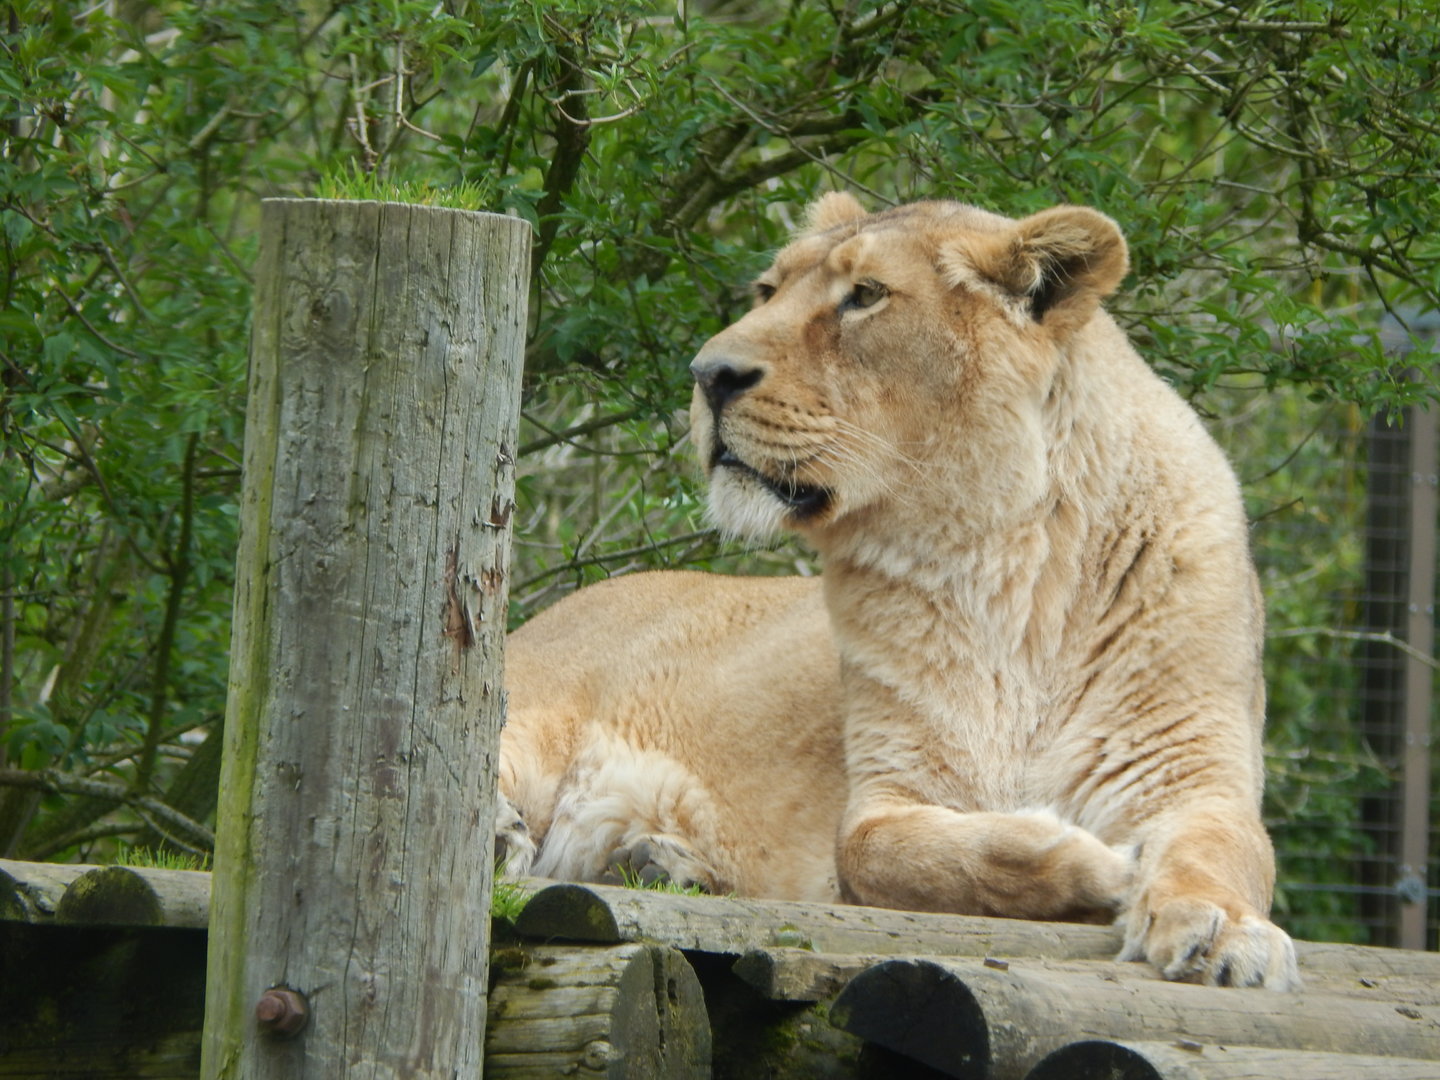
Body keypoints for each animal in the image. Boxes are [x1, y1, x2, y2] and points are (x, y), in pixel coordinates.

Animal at [498, 193, 1299, 990]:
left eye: (865, 295)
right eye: (768, 290)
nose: (708, 373)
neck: (1003, 570)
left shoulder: (1193, 774)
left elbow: (1220, 851)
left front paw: (1220, 929)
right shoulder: (885, 797)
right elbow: (890, 856)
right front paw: (1098, 864)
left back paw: (655, 859)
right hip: (526, 725)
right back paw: (517, 835)